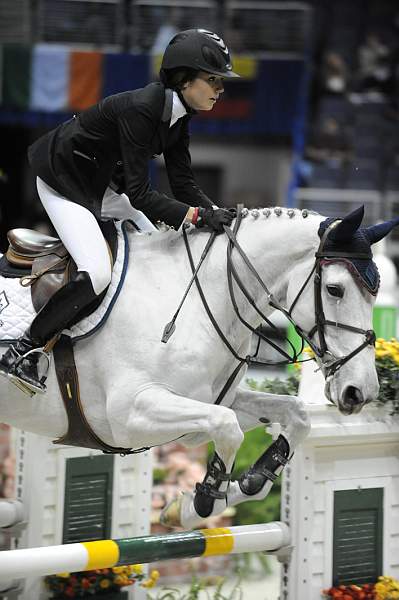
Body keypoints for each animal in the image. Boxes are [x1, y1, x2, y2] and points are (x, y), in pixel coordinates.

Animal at [0, 204, 394, 528]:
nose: (360, 391)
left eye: (374, 293)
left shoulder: (212, 401)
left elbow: (295, 415)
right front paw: (202, 503)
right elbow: (228, 429)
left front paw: (241, 486)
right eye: (335, 290)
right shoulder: (127, 417)